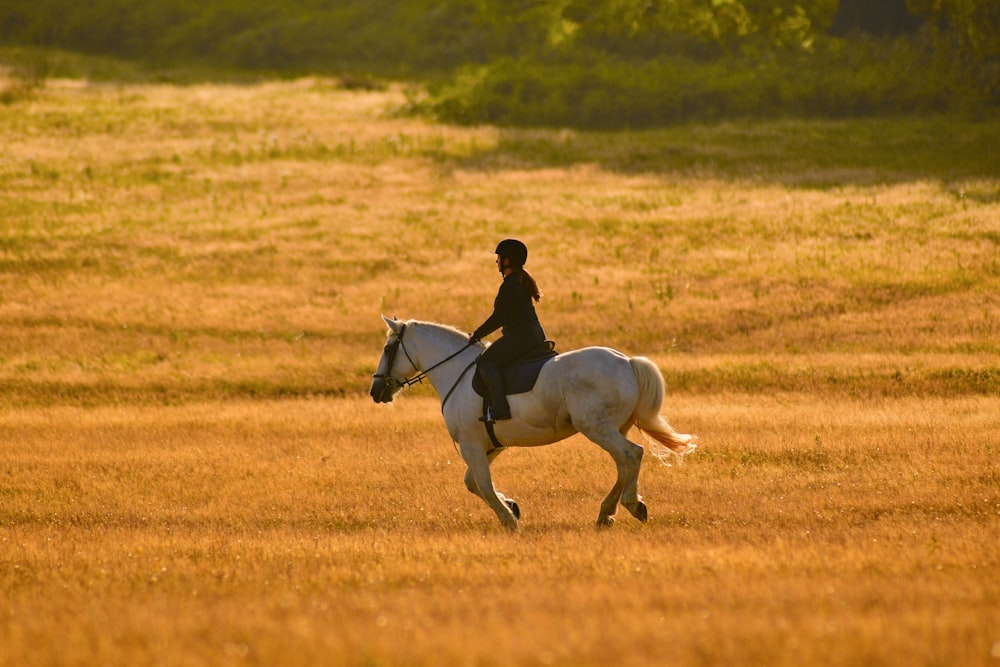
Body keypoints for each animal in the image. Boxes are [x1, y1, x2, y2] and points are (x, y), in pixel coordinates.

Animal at [370, 318, 696, 532]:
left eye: (387, 349)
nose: (376, 391)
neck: (456, 372)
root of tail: (626, 362)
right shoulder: (489, 446)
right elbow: (472, 482)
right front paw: (512, 506)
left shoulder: (472, 445)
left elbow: (482, 485)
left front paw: (509, 520)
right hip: (611, 428)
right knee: (623, 463)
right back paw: (607, 513)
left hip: (597, 428)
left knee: (632, 454)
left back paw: (631, 505)